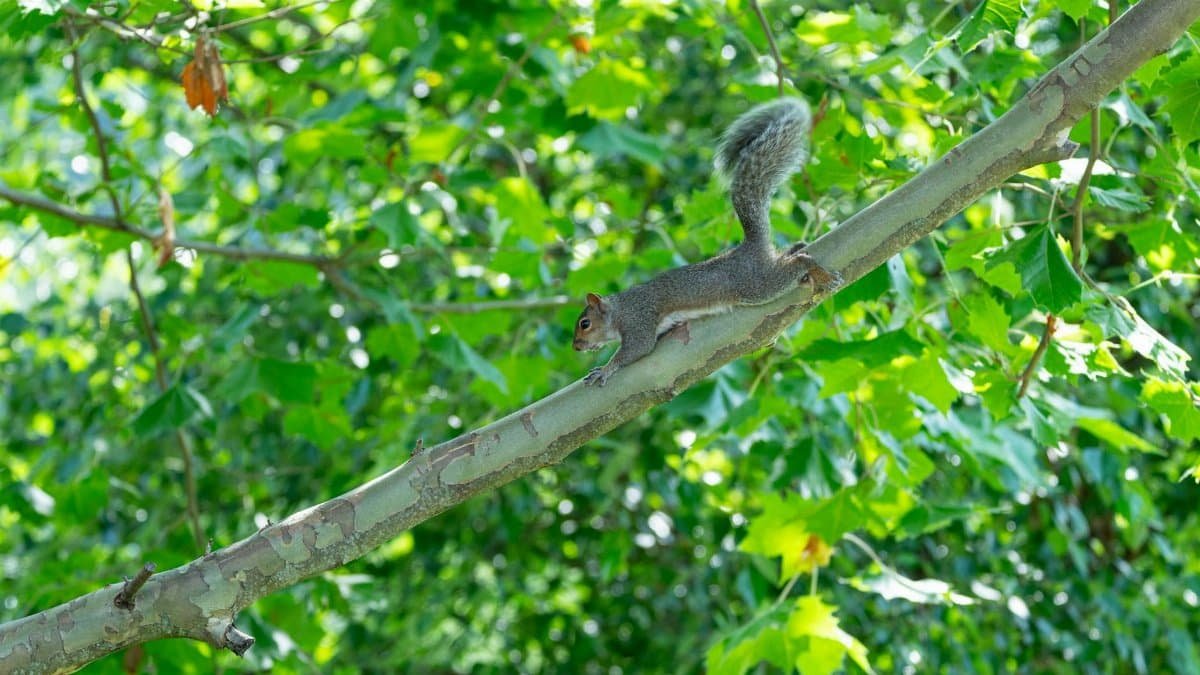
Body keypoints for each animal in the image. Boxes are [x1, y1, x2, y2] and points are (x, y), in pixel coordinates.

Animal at [572, 97, 843, 386]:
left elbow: (636, 350)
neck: (620, 310)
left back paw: (819, 272)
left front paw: (604, 370)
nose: (576, 347)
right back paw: (798, 247)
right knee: (786, 254)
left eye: (585, 323)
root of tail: (750, 246)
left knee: (795, 266)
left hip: (757, 285)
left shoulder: (638, 322)